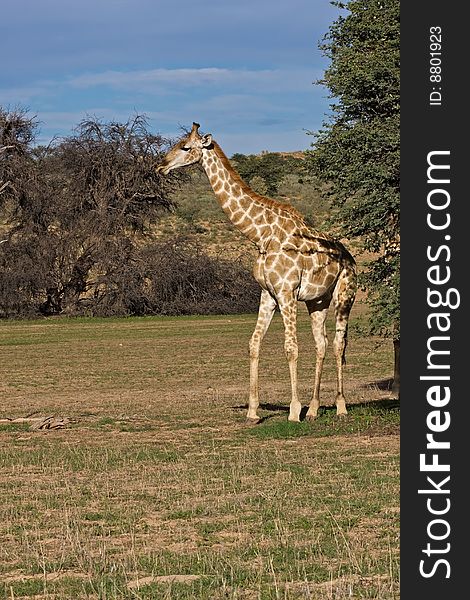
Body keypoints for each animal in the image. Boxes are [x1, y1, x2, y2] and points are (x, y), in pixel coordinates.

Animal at [155, 122, 356, 422]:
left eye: (185, 147)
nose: (160, 166)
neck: (261, 236)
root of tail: (351, 258)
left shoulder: (286, 292)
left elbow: (290, 348)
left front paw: (293, 411)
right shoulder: (267, 294)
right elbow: (254, 343)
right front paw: (252, 411)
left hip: (344, 295)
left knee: (338, 344)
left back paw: (340, 406)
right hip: (317, 300)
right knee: (321, 343)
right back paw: (314, 409)